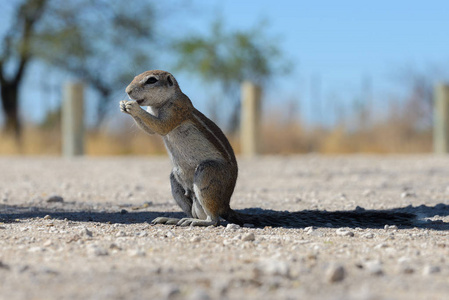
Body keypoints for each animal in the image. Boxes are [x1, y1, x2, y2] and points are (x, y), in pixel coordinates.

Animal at [120, 69, 245, 225]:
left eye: (151, 80)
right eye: (135, 77)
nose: (127, 90)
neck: (158, 105)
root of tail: (226, 204)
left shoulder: (177, 108)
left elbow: (161, 126)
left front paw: (133, 107)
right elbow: (150, 130)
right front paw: (123, 105)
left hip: (208, 173)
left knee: (214, 220)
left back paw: (198, 222)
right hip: (176, 182)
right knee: (193, 212)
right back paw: (173, 219)